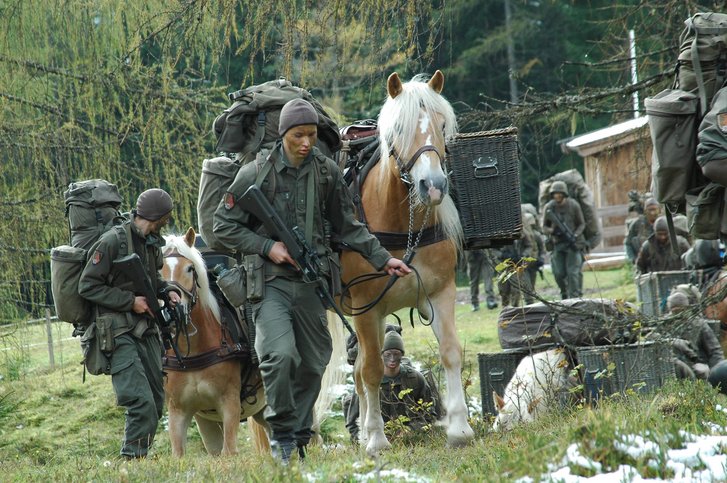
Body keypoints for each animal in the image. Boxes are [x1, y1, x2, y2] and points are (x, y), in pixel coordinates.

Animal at [342, 70, 478, 456]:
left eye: (442, 124)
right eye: (399, 128)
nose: (432, 185)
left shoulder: (440, 293)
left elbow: (450, 353)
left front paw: (459, 429)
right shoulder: (365, 307)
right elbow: (372, 371)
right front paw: (376, 439)